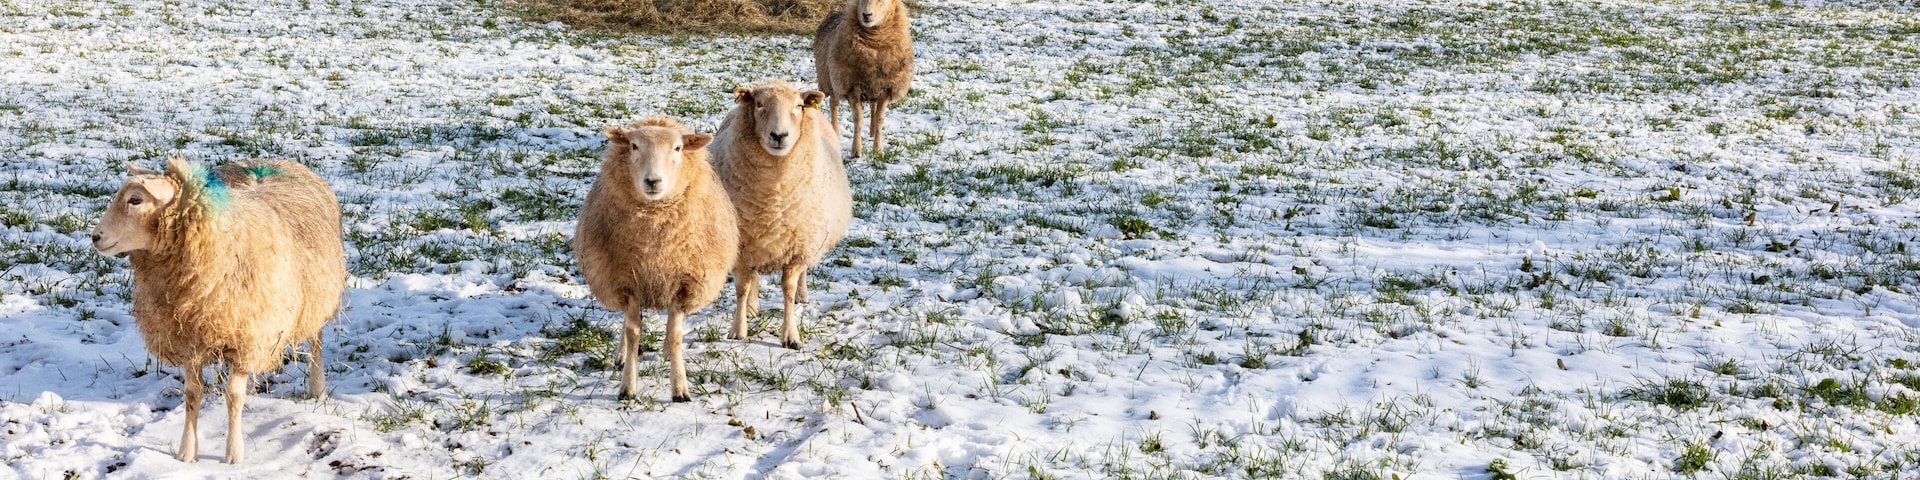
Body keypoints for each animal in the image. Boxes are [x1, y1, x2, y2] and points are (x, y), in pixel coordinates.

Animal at [88, 158, 345, 464]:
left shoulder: (247, 338)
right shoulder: (189, 337)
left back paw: (317, 388)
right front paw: (187, 451)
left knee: (316, 339)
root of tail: (271, 159)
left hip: (317, 295)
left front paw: (233, 453)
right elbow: (192, 394)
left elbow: (233, 396)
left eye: (135, 200)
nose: (95, 236)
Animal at [574, 117, 740, 402]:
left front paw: (680, 388)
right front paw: (627, 387)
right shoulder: (626, 281)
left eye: (678, 148)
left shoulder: (683, 283)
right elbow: (632, 333)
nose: (653, 181)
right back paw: (621, 356)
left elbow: (674, 336)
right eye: (633, 146)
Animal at [709, 80, 853, 349]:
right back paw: (752, 307)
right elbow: (742, 287)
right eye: (759, 104)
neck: (773, 200)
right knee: (754, 278)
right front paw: (738, 329)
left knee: (803, 274)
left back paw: (802, 296)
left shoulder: (798, 248)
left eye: (797, 106)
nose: (779, 136)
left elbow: (788, 289)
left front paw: (790, 336)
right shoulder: (742, 246)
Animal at [813, 0, 914, 158]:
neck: (876, 43)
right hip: (831, 78)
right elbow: (858, 118)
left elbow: (879, 119)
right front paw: (856, 150)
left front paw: (877, 150)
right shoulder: (851, 86)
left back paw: (871, 132)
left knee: (873, 105)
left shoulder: (886, 86)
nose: (866, 15)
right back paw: (835, 131)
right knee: (833, 103)